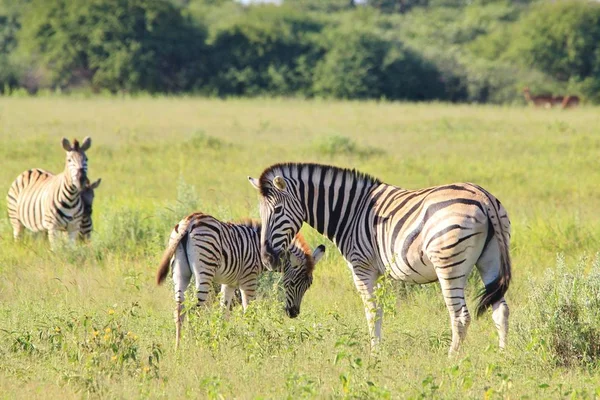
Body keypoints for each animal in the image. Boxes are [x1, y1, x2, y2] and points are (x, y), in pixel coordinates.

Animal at [248, 162, 510, 354]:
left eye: (278, 211)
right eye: (261, 212)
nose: (267, 259)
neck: (349, 212)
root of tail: (483, 197)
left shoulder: (361, 267)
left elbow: (371, 310)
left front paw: (374, 354)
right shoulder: (380, 271)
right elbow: (380, 310)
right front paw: (379, 349)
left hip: (449, 265)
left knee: (460, 316)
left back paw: (451, 360)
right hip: (491, 261)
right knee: (501, 310)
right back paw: (502, 357)